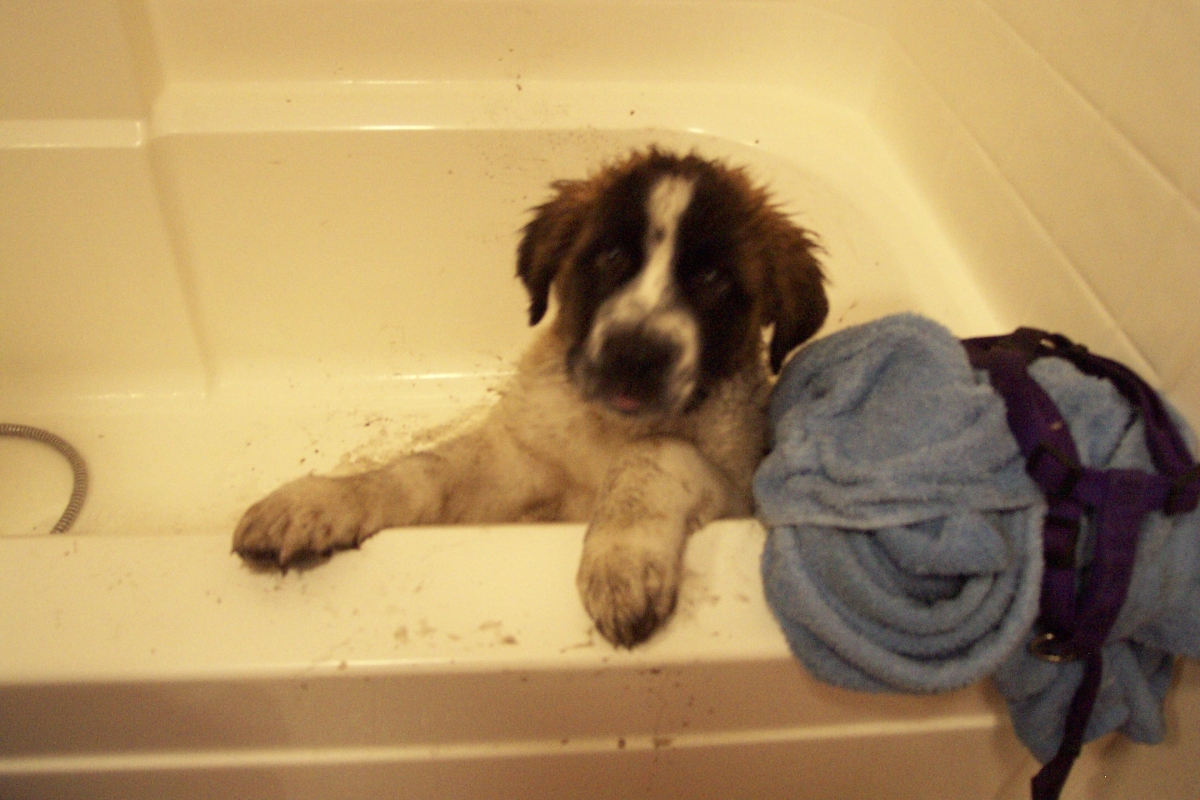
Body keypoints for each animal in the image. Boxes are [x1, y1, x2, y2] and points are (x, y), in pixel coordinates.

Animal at [233, 148, 828, 647]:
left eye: (712, 280)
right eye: (609, 257)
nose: (633, 354)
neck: (608, 431)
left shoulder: (740, 493)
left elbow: (656, 453)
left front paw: (621, 561)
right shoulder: (515, 466)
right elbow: (424, 468)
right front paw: (321, 500)